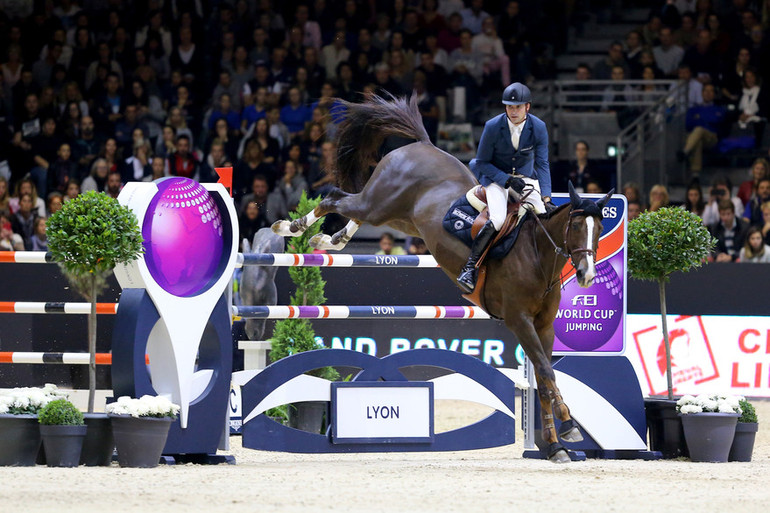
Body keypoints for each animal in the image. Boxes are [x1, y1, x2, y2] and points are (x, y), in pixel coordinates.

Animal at [272, 94, 608, 462]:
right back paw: (293, 227)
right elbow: (546, 373)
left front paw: (557, 444)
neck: (536, 255)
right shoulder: (519, 320)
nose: (587, 275)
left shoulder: (543, 325)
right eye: (575, 226)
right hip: (380, 204)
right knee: (335, 198)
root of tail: (422, 145)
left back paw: (331, 240)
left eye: (599, 228)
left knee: (352, 211)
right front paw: (568, 426)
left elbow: (546, 378)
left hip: (399, 218)